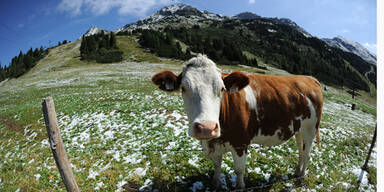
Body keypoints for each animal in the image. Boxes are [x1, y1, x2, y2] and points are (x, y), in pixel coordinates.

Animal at [152, 54, 322, 189]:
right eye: (183, 88)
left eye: (222, 88)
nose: (206, 127)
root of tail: (309, 78)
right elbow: (217, 165)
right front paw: (216, 184)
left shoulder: (241, 143)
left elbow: (239, 170)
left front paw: (239, 186)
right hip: (298, 129)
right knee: (301, 149)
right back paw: (297, 172)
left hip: (311, 128)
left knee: (307, 153)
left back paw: (300, 178)